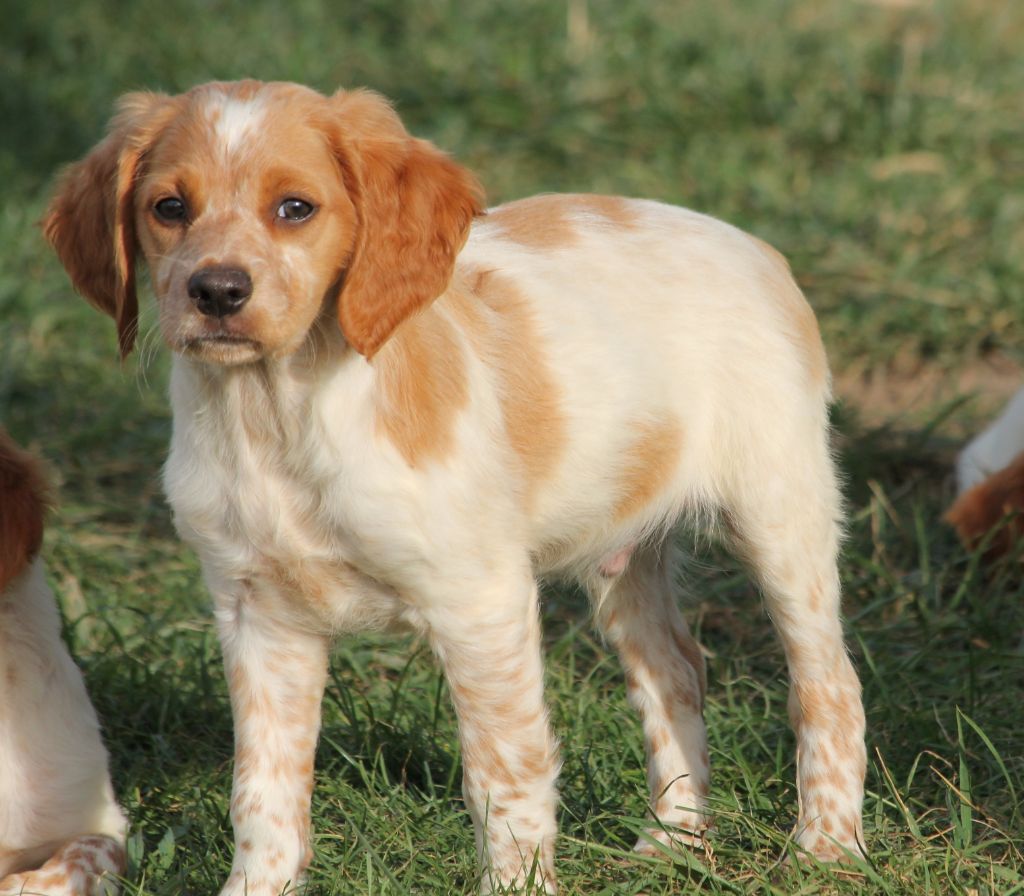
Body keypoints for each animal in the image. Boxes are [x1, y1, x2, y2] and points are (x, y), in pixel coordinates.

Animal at [44, 79, 866, 894]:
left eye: (295, 208)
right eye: (168, 207)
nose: (216, 291)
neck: (276, 414)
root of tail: (755, 247)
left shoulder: (481, 603)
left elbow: (504, 779)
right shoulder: (258, 614)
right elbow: (264, 791)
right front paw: (257, 887)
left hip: (781, 515)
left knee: (828, 686)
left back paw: (826, 847)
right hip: (623, 553)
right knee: (675, 674)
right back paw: (671, 841)